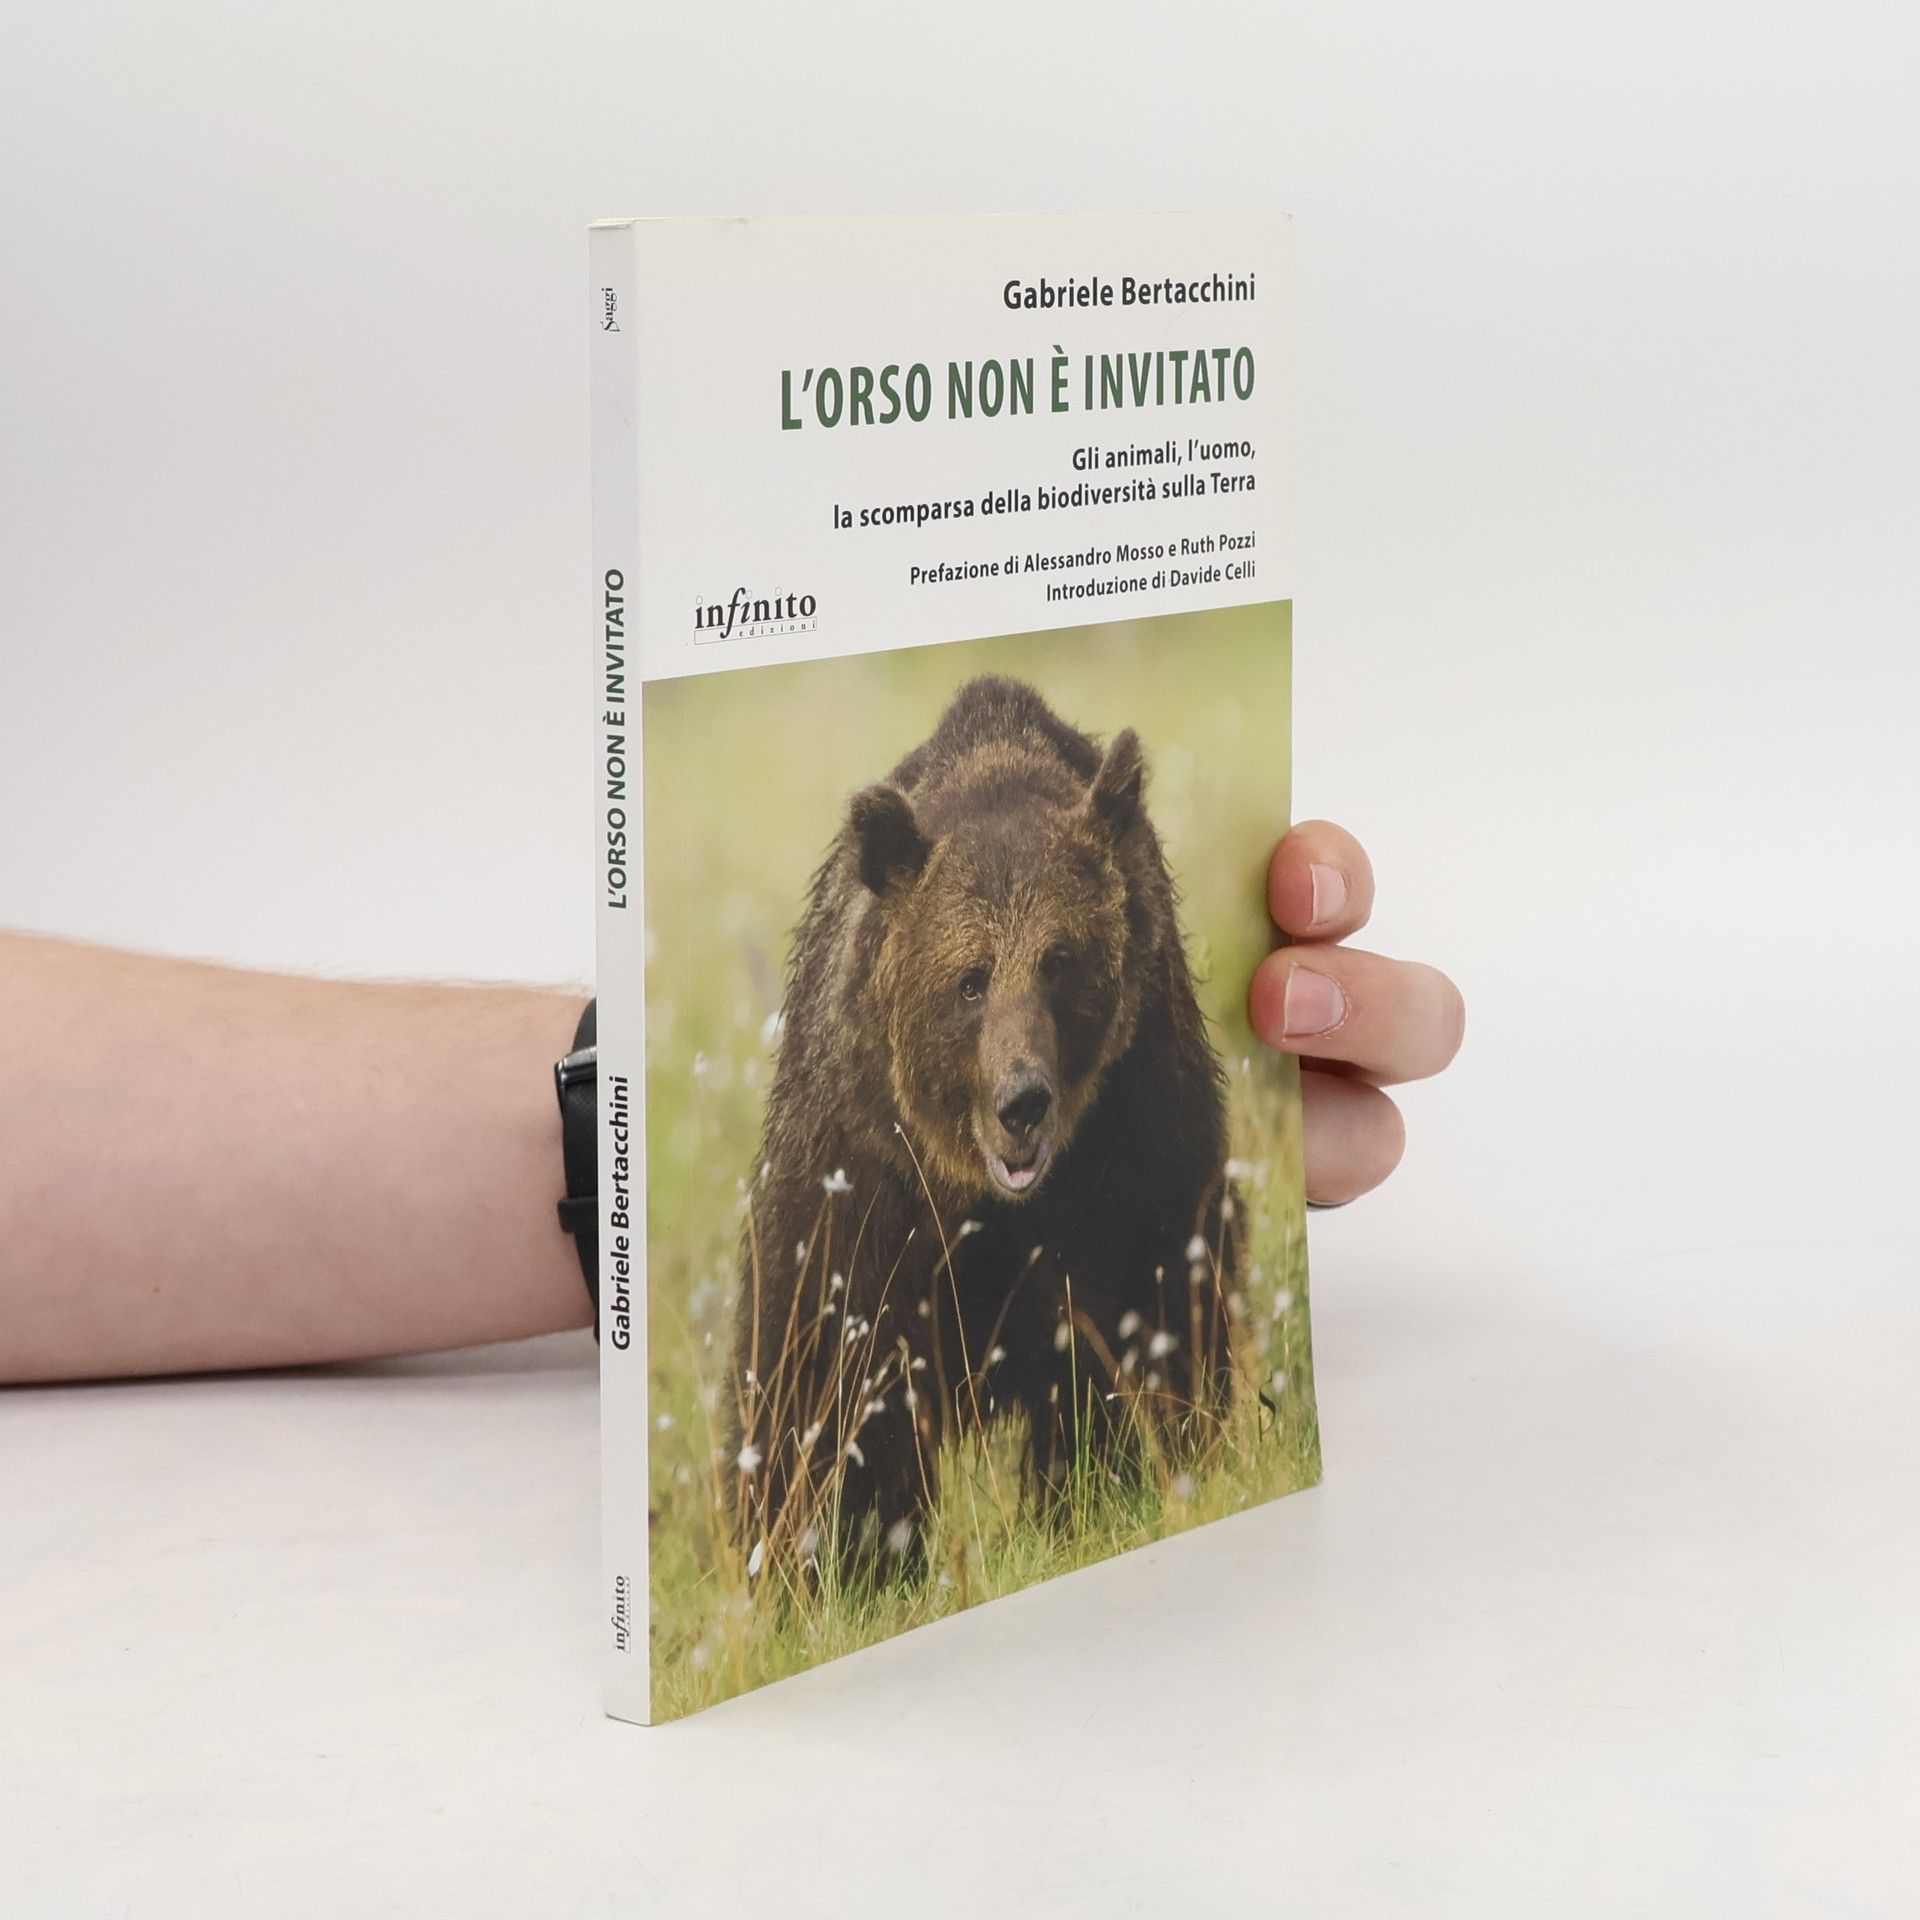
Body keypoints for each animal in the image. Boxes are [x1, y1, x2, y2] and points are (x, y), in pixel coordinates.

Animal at [728, 674, 1239, 1579]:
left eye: (1060, 960)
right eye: (969, 980)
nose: (1022, 1100)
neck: (975, 1192)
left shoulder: (1133, 1137)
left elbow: (1157, 1305)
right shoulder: (863, 1172)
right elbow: (815, 1360)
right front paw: (822, 1560)